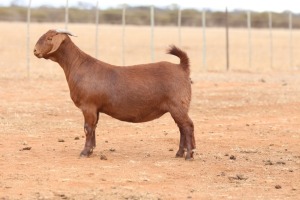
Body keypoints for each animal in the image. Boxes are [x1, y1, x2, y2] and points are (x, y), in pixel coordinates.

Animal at [34, 29, 196, 159]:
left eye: (49, 38)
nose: (35, 51)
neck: (78, 65)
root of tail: (181, 67)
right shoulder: (95, 109)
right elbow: (94, 127)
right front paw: (91, 149)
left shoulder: (88, 106)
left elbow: (88, 128)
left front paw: (85, 152)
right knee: (182, 127)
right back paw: (179, 153)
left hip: (177, 105)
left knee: (187, 126)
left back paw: (189, 154)